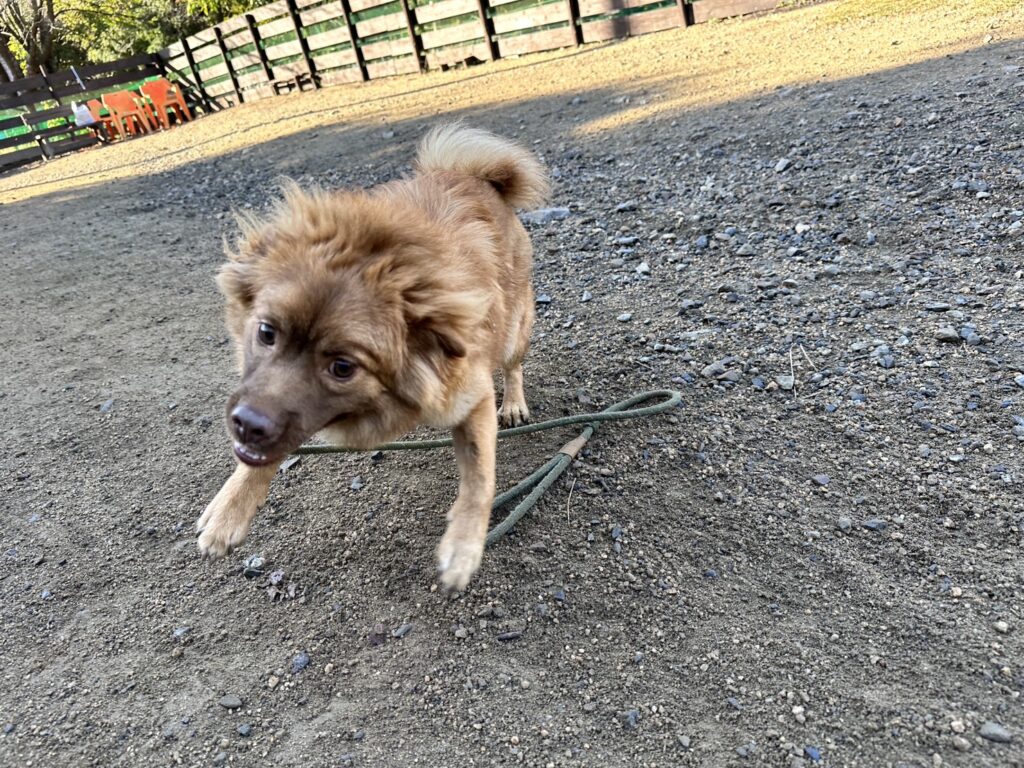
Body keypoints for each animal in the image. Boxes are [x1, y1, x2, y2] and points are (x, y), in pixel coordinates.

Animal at [196, 124, 549, 590]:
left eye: (343, 368)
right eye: (266, 332)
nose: (245, 426)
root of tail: (478, 178)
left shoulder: (469, 396)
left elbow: (479, 477)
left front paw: (463, 548)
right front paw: (229, 510)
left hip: (513, 330)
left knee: (513, 366)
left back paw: (514, 404)